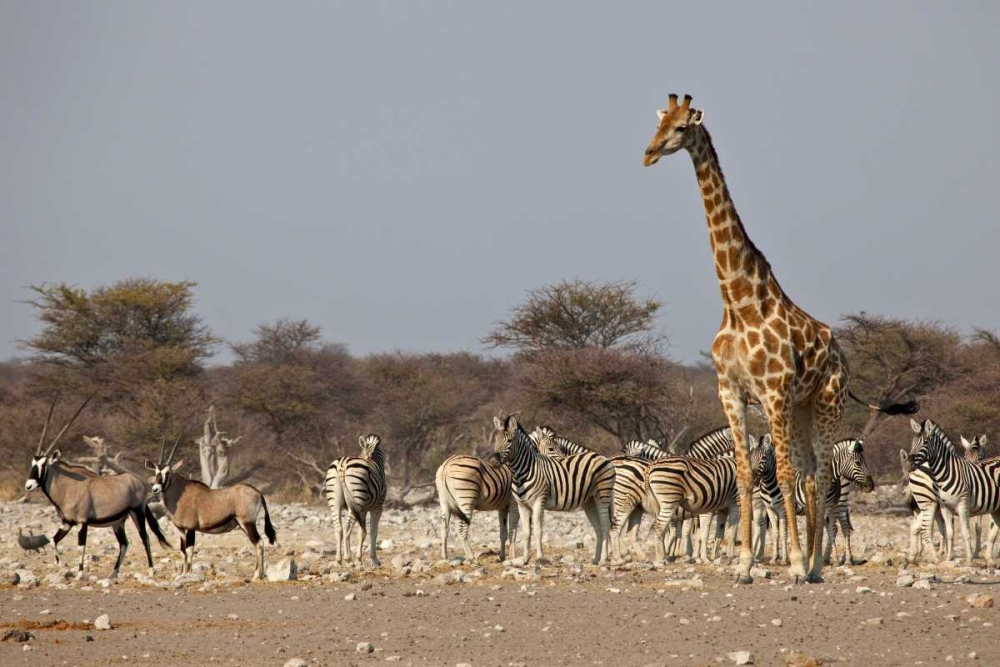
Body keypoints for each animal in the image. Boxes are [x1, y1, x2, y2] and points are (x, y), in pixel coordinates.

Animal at [324, 436, 386, 568]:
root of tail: (342, 463)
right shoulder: (377, 507)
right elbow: (373, 531)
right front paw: (374, 560)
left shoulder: (362, 510)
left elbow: (360, 533)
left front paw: (359, 559)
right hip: (356, 500)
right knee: (347, 527)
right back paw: (348, 559)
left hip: (335, 501)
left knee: (339, 528)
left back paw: (339, 560)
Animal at [488, 414, 612, 568]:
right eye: (495, 440)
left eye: (509, 441)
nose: (492, 462)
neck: (522, 472)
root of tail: (601, 456)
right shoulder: (522, 505)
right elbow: (526, 532)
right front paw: (524, 559)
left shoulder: (538, 502)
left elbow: (538, 530)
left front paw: (539, 558)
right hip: (590, 501)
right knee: (598, 527)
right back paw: (595, 560)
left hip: (603, 496)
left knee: (605, 524)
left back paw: (604, 559)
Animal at [644, 94, 916, 584]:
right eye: (659, 123)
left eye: (681, 128)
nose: (649, 153)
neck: (738, 300)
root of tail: (843, 357)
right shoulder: (730, 392)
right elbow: (746, 476)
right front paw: (744, 567)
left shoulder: (773, 392)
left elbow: (784, 475)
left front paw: (790, 564)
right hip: (804, 407)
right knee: (811, 474)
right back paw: (809, 562)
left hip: (826, 403)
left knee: (819, 475)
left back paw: (814, 566)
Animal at [908, 420, 1000, 568]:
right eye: (913, 441)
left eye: (925, 442)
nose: (909, 463)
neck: (947, 472)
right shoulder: (950, 506)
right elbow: (957, 531)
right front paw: (957, 557)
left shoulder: (966, 505)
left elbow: (967, 531)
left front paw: (970, 558)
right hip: (927, 502)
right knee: (923, 527)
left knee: (919, 527)